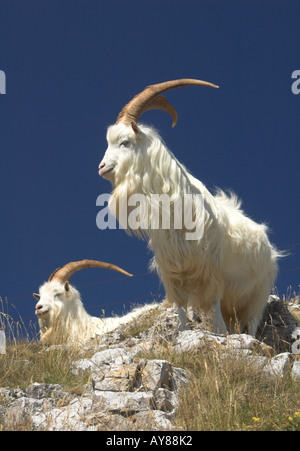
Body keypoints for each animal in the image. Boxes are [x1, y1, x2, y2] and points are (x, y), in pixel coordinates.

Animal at [99, 79, 282, 338]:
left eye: (124, 142)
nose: (101, 167)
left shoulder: (211, 274)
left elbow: (215, 315)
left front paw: (219, 337)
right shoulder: (173, 274)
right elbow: (181, 313)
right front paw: (185, 333)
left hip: (259, 294)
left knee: (252, 323)